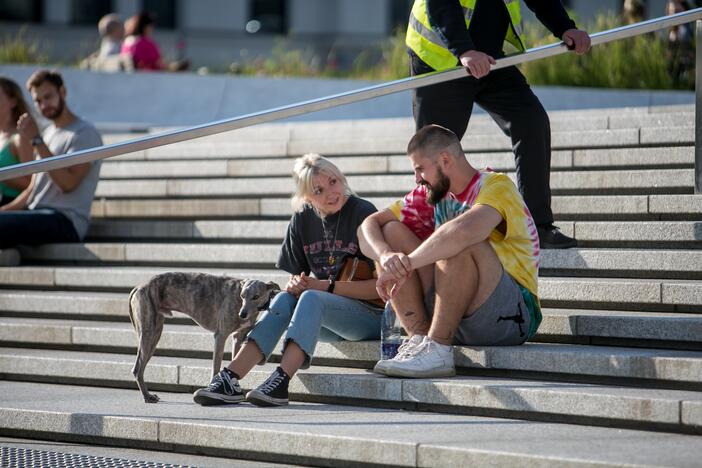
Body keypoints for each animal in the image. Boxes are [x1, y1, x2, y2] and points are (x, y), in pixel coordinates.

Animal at [126, 272, 280, 404]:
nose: (242, 315)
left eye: (256, 296)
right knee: (137, 368)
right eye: (242, 296)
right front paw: (213, 389)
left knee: (140, 367)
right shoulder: (220, 336)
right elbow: (216, 367)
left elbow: (235, 360)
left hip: (155, 334)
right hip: (148, 332)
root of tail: (139, 287)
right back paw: (147, 396)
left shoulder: (238, 337)